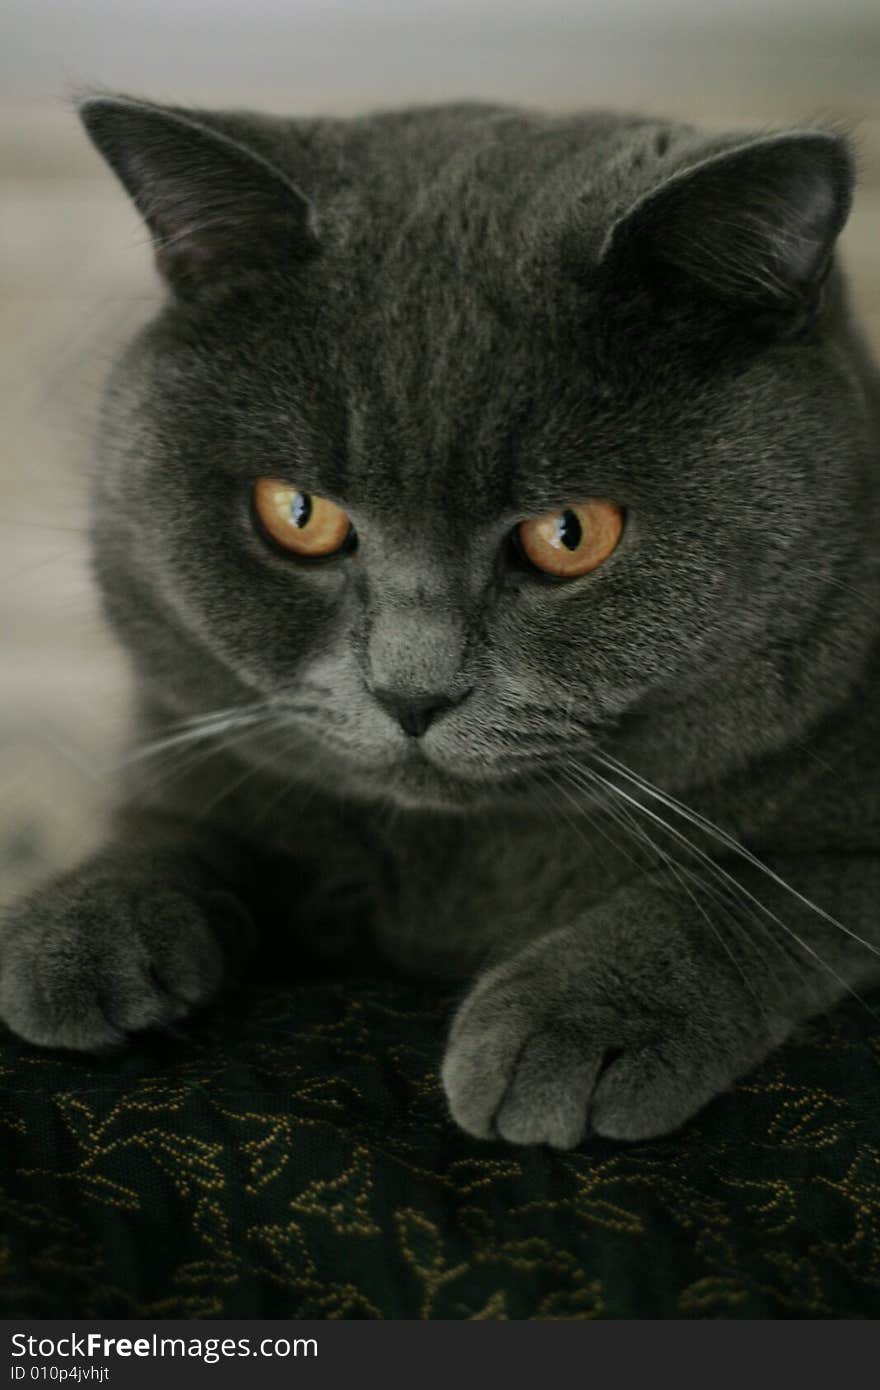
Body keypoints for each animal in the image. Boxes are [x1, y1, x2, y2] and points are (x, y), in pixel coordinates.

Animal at [1, 92, 878, 1145]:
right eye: (299, 513)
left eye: (569, 533)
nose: (410, 693)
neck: (450, 874)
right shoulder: (194, 743)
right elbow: (177, 824)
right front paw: (78, 930)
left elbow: (745, 888)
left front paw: (569, 1022)